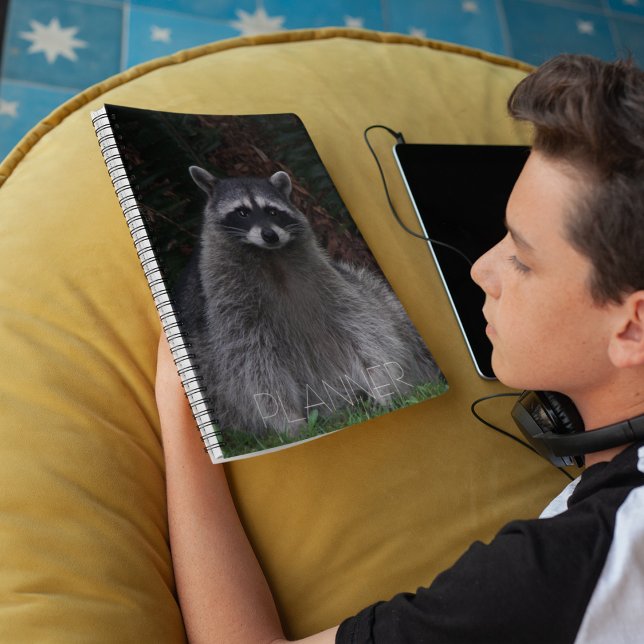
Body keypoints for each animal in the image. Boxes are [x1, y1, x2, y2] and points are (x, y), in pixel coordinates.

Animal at [175, 167, 440, 437]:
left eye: (272, 211)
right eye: (242, 212)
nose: (270, 235)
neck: (269, 258)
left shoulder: (331, 286)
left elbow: (364, 331)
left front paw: (383, 382)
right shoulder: (231, 312)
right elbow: (255, 368)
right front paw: (289, 420)